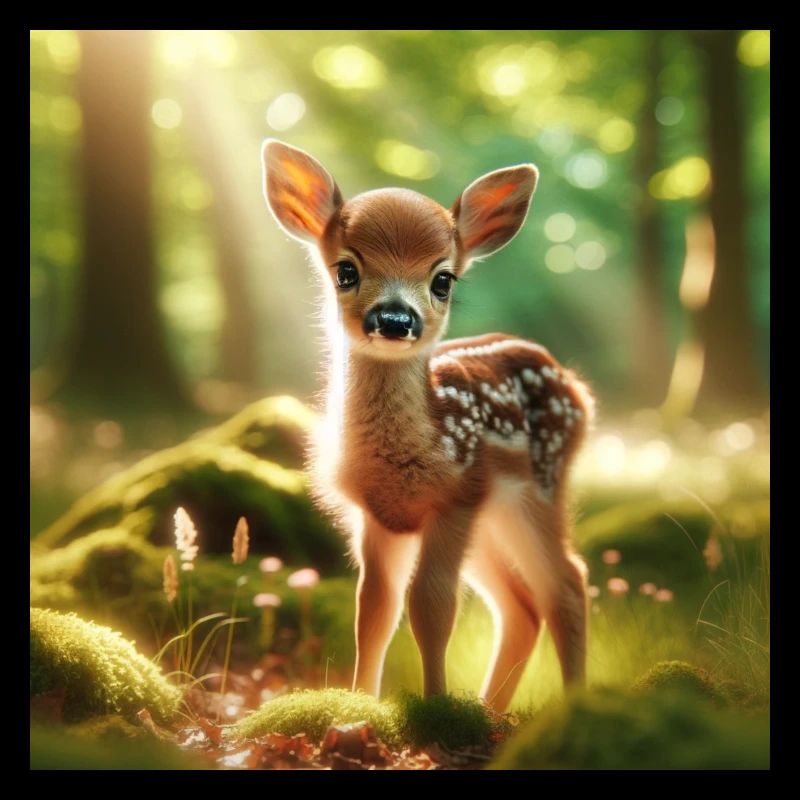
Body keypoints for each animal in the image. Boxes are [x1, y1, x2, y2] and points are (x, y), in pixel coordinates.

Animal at [261, 139, 594, 712]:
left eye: (443, 279)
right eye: (346, 270)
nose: (396, 319)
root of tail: (577, 389)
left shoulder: (455, 498)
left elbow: (432, 605)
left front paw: (435, 711)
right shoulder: (377, 515)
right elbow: (375, 608)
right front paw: (362, 704)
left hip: (539, 489)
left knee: (568, 583)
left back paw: (572, 707)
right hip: (493, 519)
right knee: (522, 604)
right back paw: (489, 712)